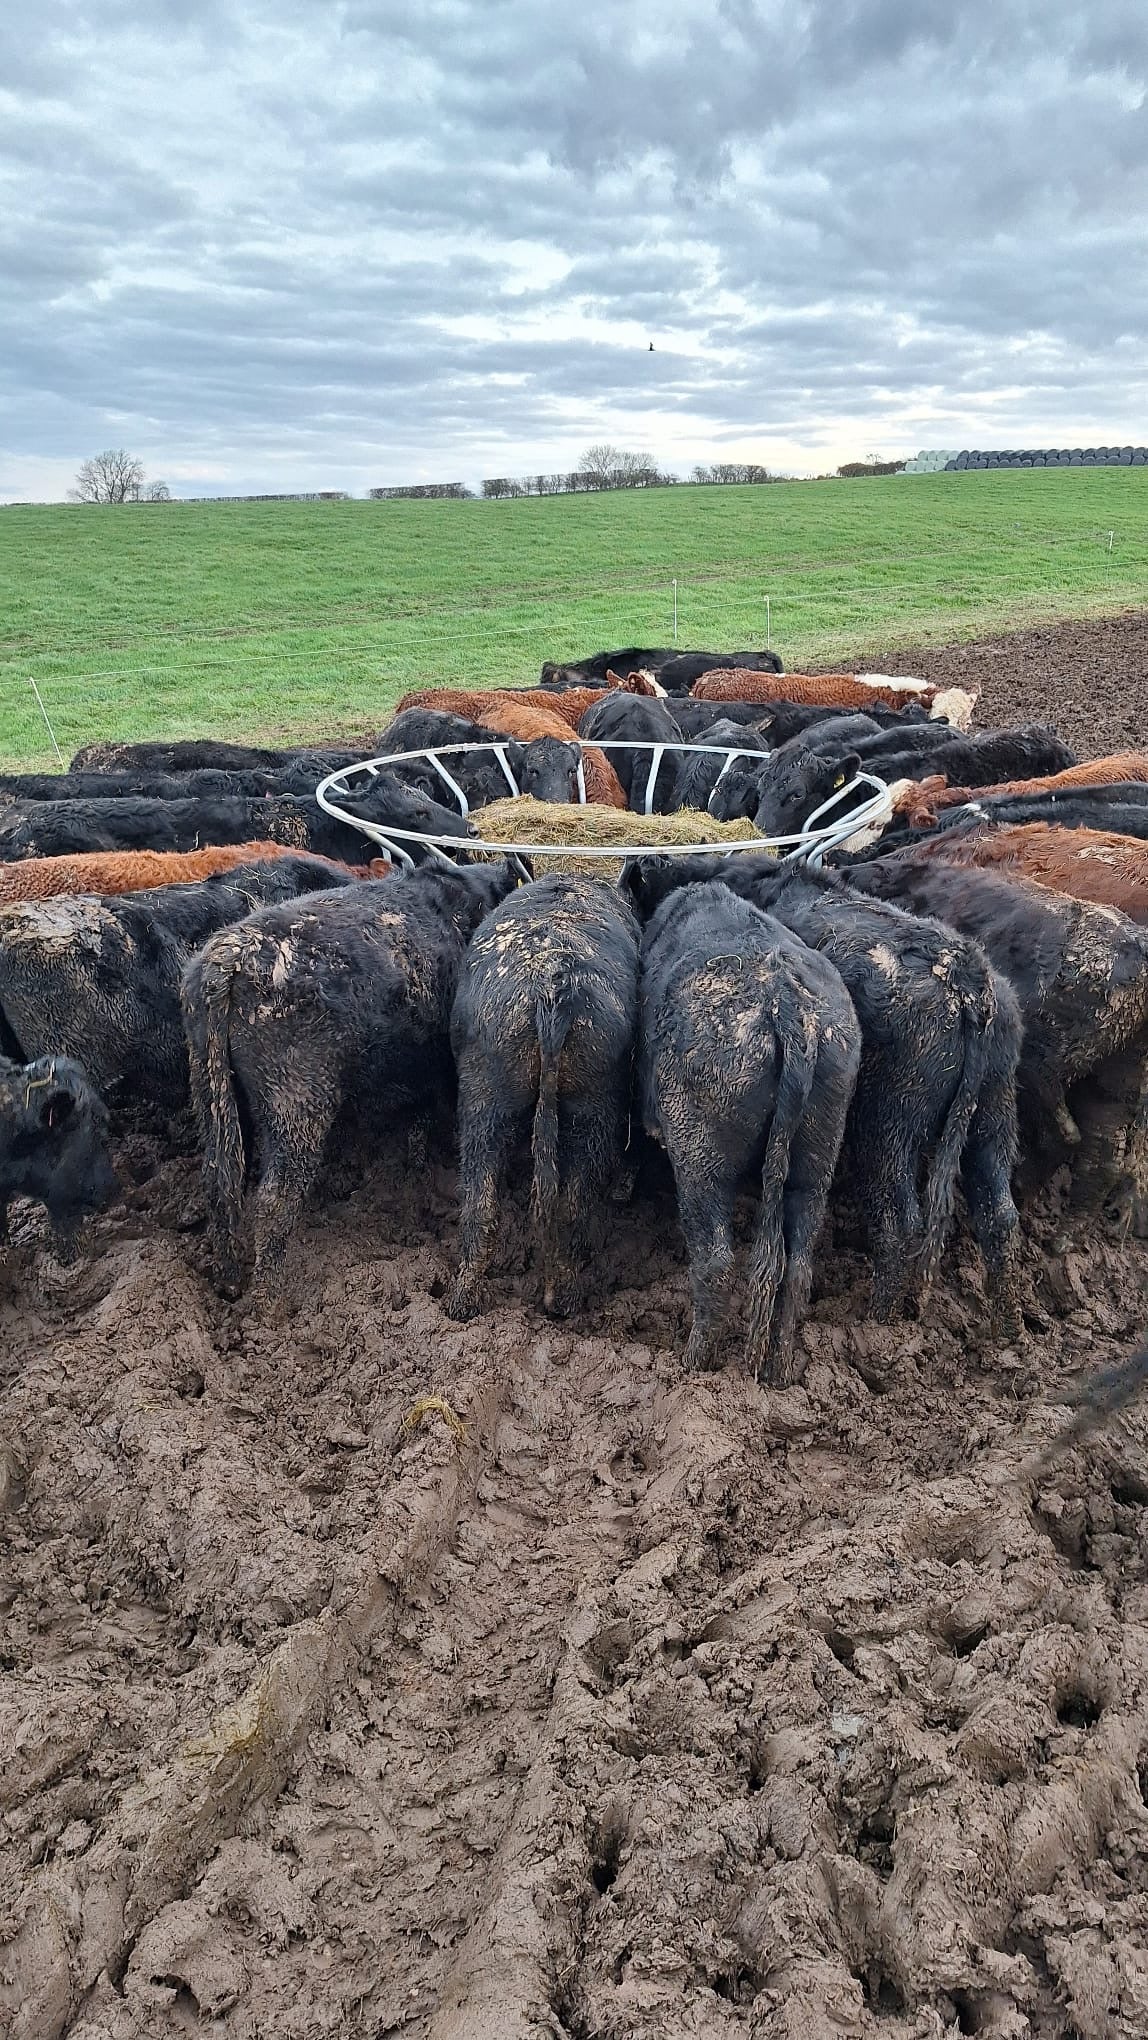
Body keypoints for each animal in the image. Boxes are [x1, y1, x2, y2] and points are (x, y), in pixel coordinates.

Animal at [182, 861, 520, 1296]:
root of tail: (230, 954)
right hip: (297, 1107)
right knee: (274, 1201)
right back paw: (268, 1299)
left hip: (212, 1096)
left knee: (219, 1181)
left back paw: (227, 1281)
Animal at [623, 869, 860, 1383]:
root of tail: (785, 1001)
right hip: (818, 1154)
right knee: (798, 1263)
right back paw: (780, 1370)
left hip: (701, 1159)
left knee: (715, 1260)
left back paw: (693, 1363)